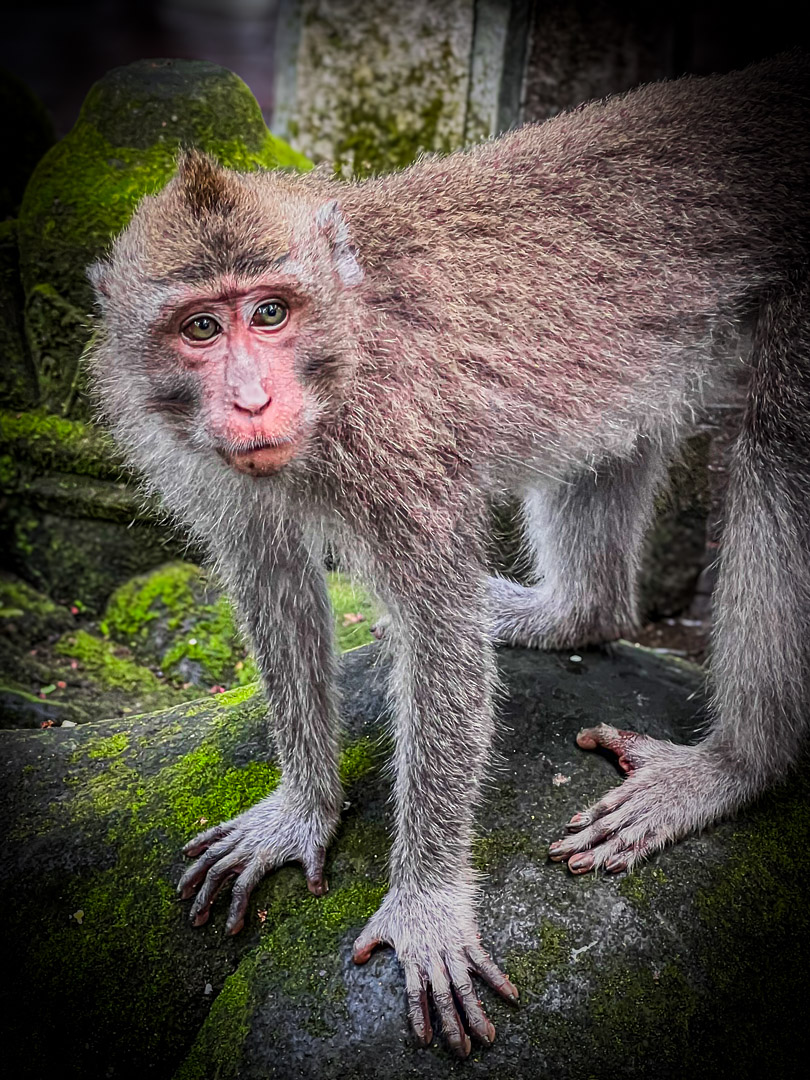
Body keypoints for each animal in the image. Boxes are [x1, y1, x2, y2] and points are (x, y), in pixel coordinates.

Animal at [87, 52, 809, 1057]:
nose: (250, 401)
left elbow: (438, 641)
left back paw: (739, 765)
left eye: (268, 312)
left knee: (780, 443)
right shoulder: (221, 471)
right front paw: (302, 809)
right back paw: (574, 614)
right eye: (202, 327)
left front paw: (426, 903)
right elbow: (276, 586)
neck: (346, 355)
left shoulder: (399, 450)